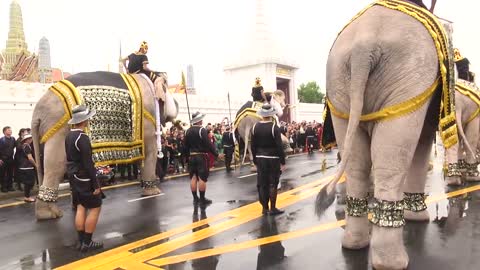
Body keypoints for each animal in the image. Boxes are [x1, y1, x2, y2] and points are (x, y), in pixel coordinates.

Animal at [31, 71, 178, 219]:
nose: (176, 103)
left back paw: (75, 207)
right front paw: (154, 193)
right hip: (60, 130)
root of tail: (38, 112)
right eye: (167, 87)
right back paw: (50, 214)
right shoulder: (147, 117)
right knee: (56, 165)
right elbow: (149, 153)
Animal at [322, 1, 454, 268]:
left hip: (339, 84)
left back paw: (354, 244)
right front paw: (418, 219)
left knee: (357, 164)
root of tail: (363, 47)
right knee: (390, 160)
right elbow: (423, 139)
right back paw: (392, 262)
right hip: (407, 79)